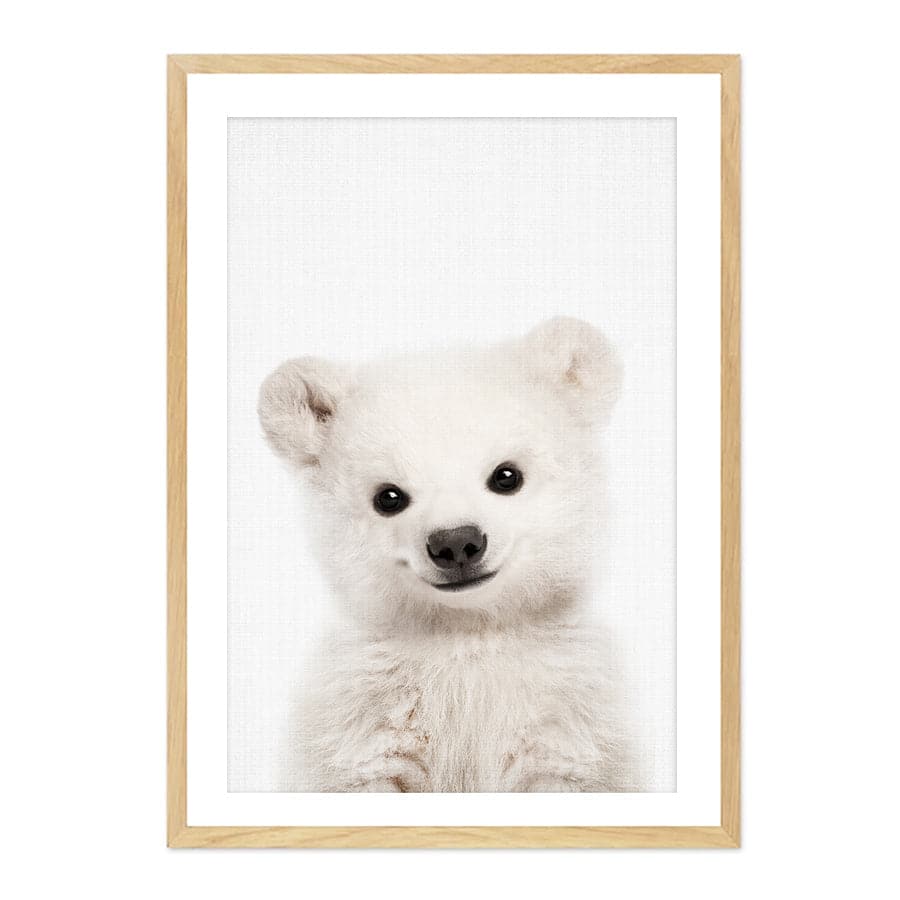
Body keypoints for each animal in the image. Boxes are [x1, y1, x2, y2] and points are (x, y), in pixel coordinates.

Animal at [258, 316, 640, 792]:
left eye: (507, 475)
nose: (456, 542)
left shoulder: (569, 720)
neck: (465, 634)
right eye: (388, 497)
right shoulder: (361, 722)